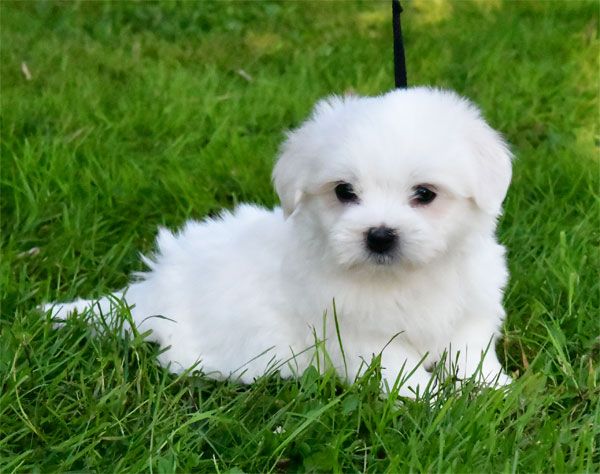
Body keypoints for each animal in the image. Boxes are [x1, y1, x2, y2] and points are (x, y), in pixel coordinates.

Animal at [48, 88, 516, 396]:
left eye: (425, 194)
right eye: (344, 191)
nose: (380, 235)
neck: (406, 276)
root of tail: (149, 290)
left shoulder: (470, 313)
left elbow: (471, 353)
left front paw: (494, 390)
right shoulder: (357, 337)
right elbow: (403, 372)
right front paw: (438, 404)